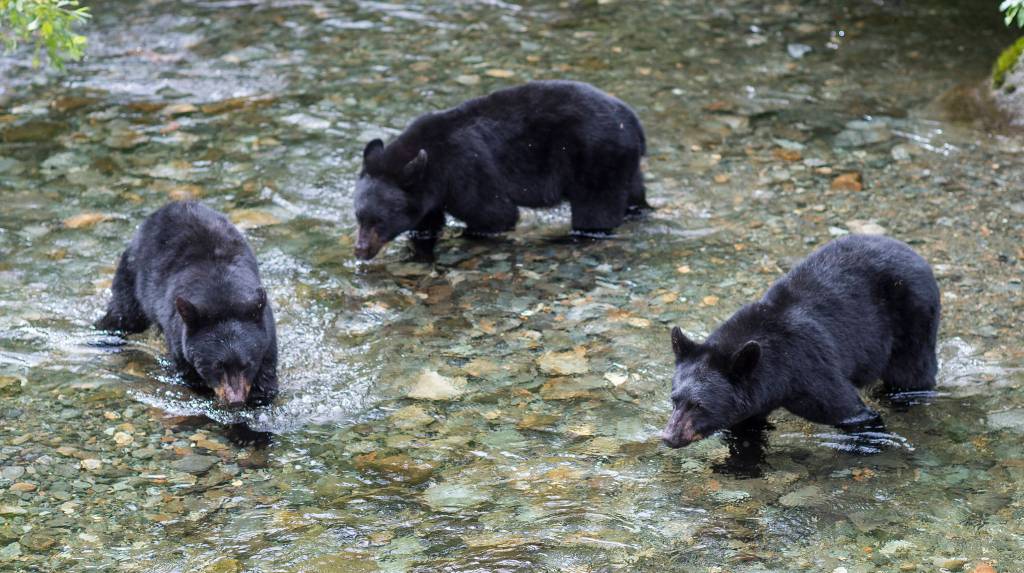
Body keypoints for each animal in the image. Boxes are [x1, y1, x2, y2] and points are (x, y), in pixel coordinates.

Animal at [96, 201, 279, 411]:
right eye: (217, 366)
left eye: (247, 364)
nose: (236, 401)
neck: (223, 295)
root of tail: (169, 206)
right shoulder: (179, 340)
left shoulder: (267, 337)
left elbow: (266, 381)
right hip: (131, 273)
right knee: (123, 315)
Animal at [353, 80, 649, 262]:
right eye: (359, 218)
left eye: (379, 220)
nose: (360, 250)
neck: (434, 165)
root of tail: (633, 121)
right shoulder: (428, 193)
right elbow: (426, 224)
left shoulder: (466, 170)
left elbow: (495, 214)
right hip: (624, 165)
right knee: (634, 196)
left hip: (597, 161)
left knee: (596, 213)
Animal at [661, 234, 940, 449]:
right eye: (674, 399)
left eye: (699, 405)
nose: (668, 436)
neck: (777, 371)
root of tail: (914, 254)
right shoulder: (751, 400)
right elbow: (745, 429)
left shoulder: (809, 370)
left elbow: (851, 411)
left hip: (914, 320)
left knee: (911, 373)